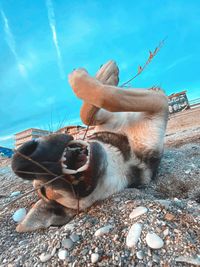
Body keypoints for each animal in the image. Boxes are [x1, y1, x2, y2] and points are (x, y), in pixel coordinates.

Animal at [10, 60, 167, 232]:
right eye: (44, 192)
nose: (21, 159)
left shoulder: (107, 117)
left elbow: (88, 111)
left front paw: (104, 74)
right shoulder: (159, 106)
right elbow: (107, 96)